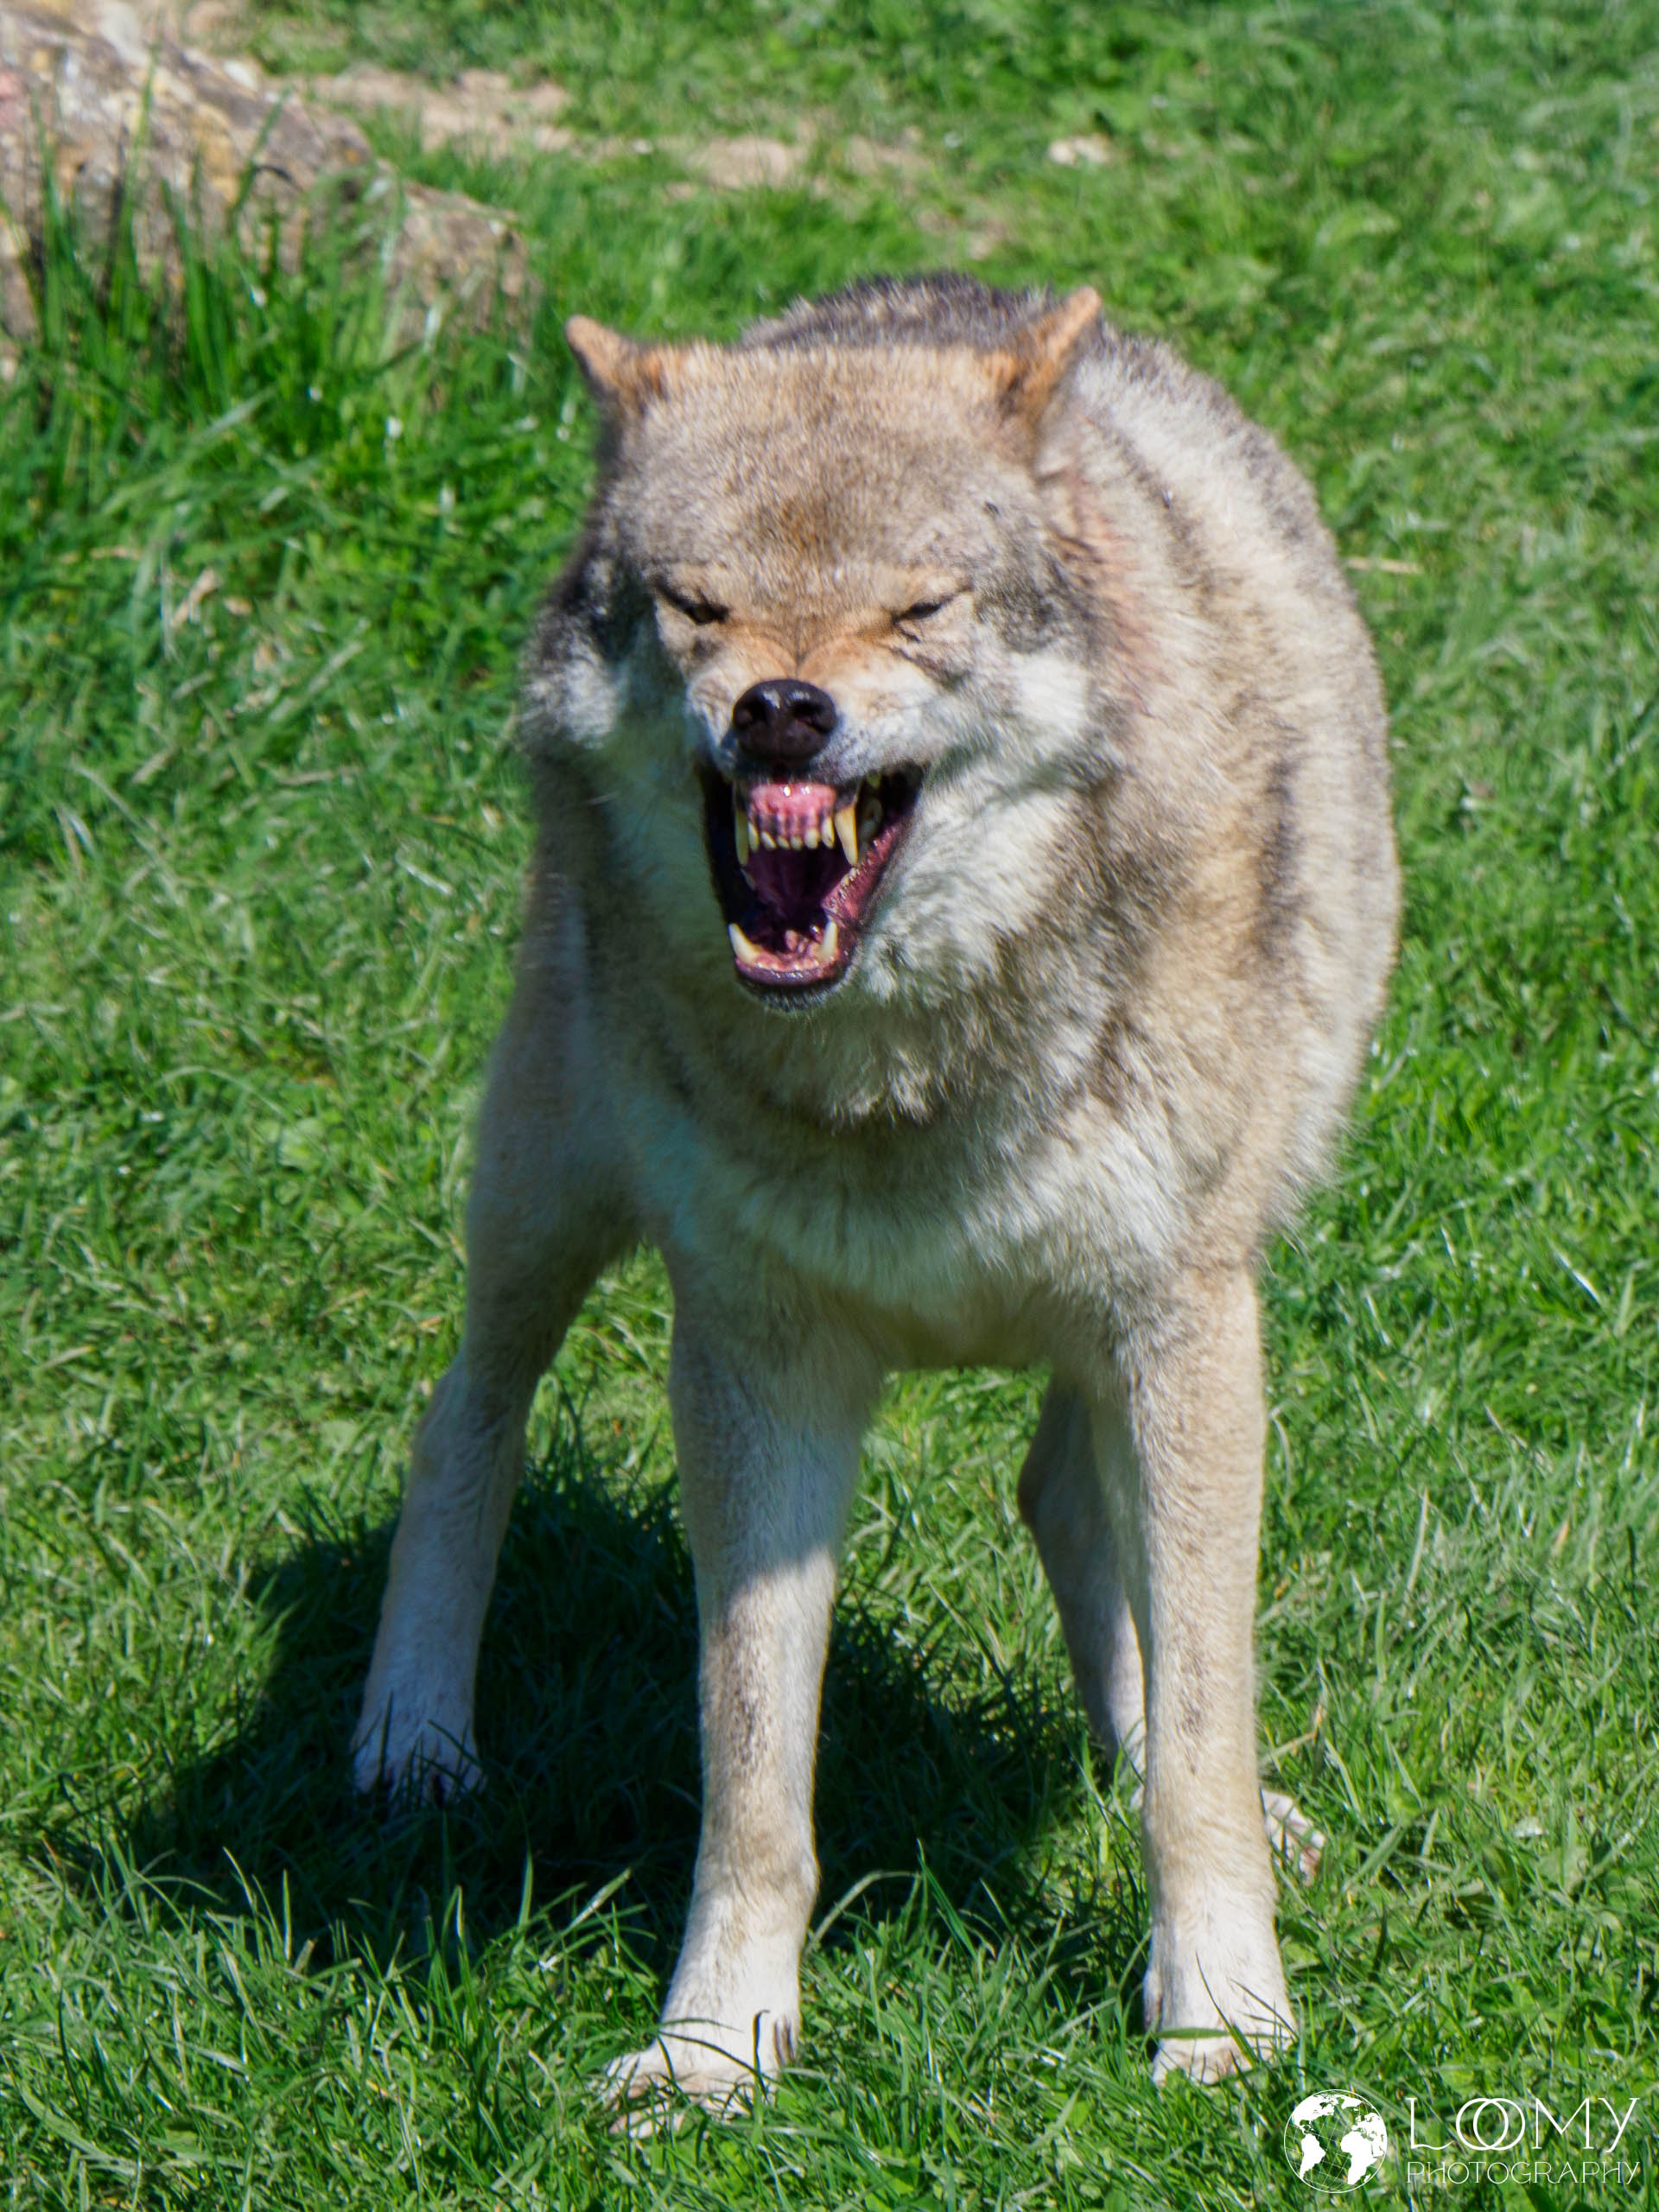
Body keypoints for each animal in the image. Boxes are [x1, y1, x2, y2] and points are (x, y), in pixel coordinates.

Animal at [352, 274, 1399, 2106]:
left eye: (917, 611)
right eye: (697, 607)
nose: (782, 706)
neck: (898, 1076)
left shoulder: (1181, 1321)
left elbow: (1202, 1727)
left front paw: (1220, 2017)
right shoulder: (755, 1359)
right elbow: (752, 1769)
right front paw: (713, 2052)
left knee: (1071, 1510)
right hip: (551, 1192)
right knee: (464, 1409)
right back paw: (413, 1741)